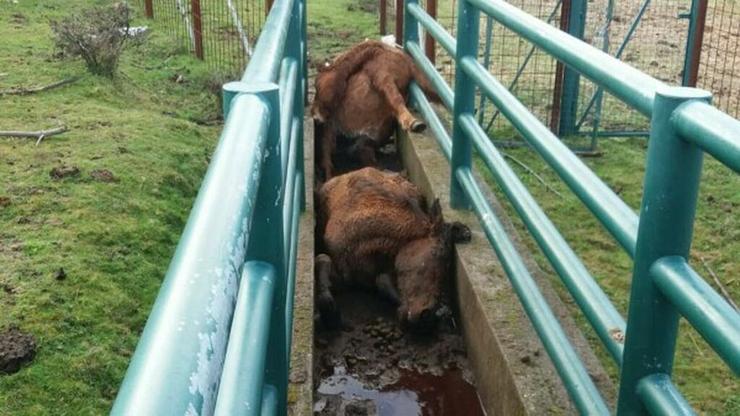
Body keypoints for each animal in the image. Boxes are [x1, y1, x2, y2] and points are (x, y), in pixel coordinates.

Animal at [310, 40, 440, 180]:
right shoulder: (383, 76)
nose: (315, 116)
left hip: (360, 143)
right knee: (328, 165)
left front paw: (414, 123)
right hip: (330, 136)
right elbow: (396, 98)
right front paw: (413, 123)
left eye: (317, 84)